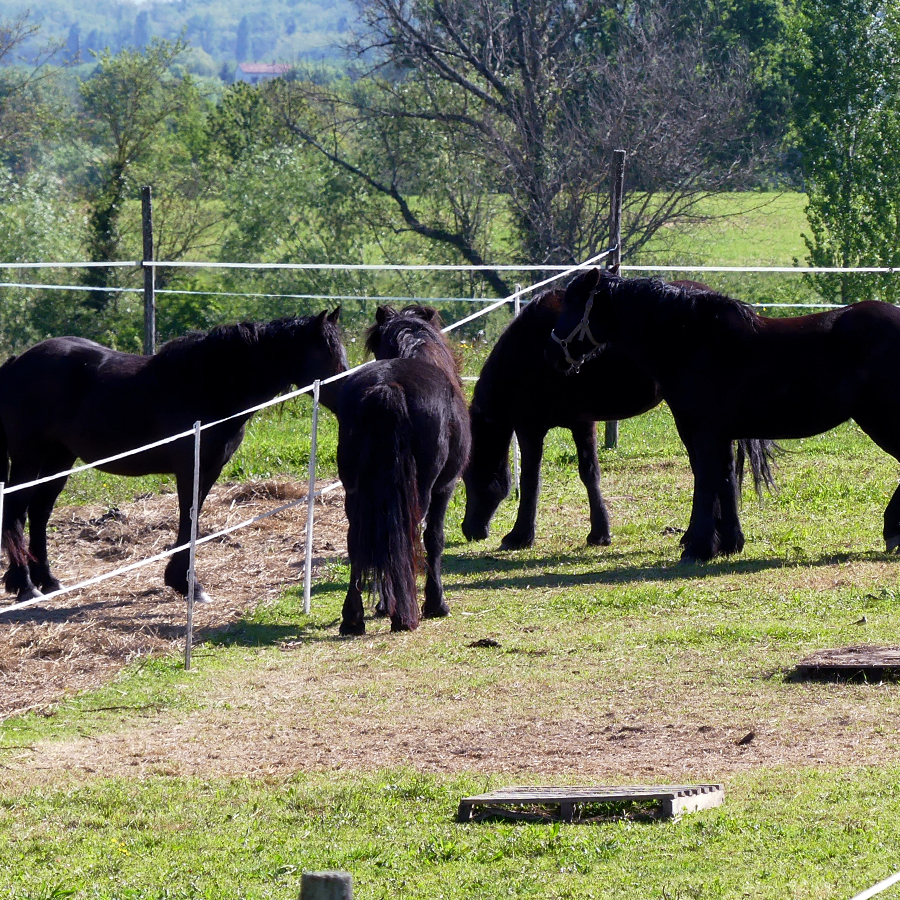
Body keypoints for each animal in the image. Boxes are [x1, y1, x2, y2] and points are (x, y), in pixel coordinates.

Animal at [0, 310, 348, 604]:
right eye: (328, 355)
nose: (350, 389)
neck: (209, 384)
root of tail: (17, 363)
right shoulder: (190, 469)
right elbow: (188, 518)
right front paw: (187, 584)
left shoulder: (210, 470)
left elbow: (193, 520)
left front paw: (184, 581)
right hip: (29, 458)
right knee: (16, 511)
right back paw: (26, 586)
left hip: (59, 458)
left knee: (39, 511)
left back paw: (47, 581)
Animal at [336, 306, 472, 636]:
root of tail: (388, 388)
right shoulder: (445, 487)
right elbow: (434, 539)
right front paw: (436, 604)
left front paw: (383, 604)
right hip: (421, 490)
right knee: (408, 536)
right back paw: (404, 613)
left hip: (355, 490)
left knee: (359, 539)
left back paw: (354, 618)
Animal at [464, 284, 772, 548]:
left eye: (468, 476)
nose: (470, 530)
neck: (526, 353)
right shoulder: (579, 423)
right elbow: (588, 474)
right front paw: (599, 533)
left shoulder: (532, 428)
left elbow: (532, 479)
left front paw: (520, 536)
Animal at [544, 268, 900, 564]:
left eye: (572, 303)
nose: (552, 353)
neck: (690, 340)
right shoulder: (719, 433)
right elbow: (725, 479)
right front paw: (729, 542)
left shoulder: (702, 431)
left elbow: (706, 479)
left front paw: (698, 547)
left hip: (882, 420)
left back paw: (892, 531)